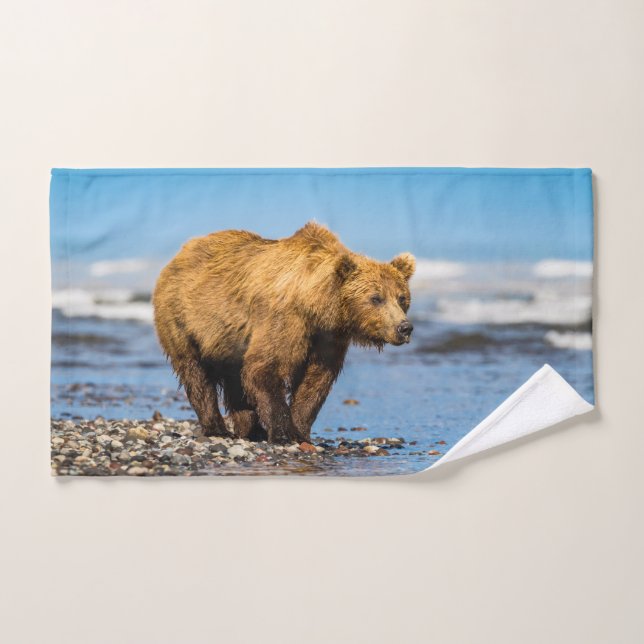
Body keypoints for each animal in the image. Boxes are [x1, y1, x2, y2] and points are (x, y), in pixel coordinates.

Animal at [153, 221, 415, 444]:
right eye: (376, 298)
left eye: (402, 297)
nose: (404, 328)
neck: (316, 305)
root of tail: (180, 253)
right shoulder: (286, 319)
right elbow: (264, 367)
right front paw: (284, 433)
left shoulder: (328, 336)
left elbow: (316, 380)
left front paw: (300, 429)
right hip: (183, 319)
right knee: (196, 373)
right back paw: (217, 428)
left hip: (230, 340)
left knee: (235, 380)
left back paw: (251, 430)